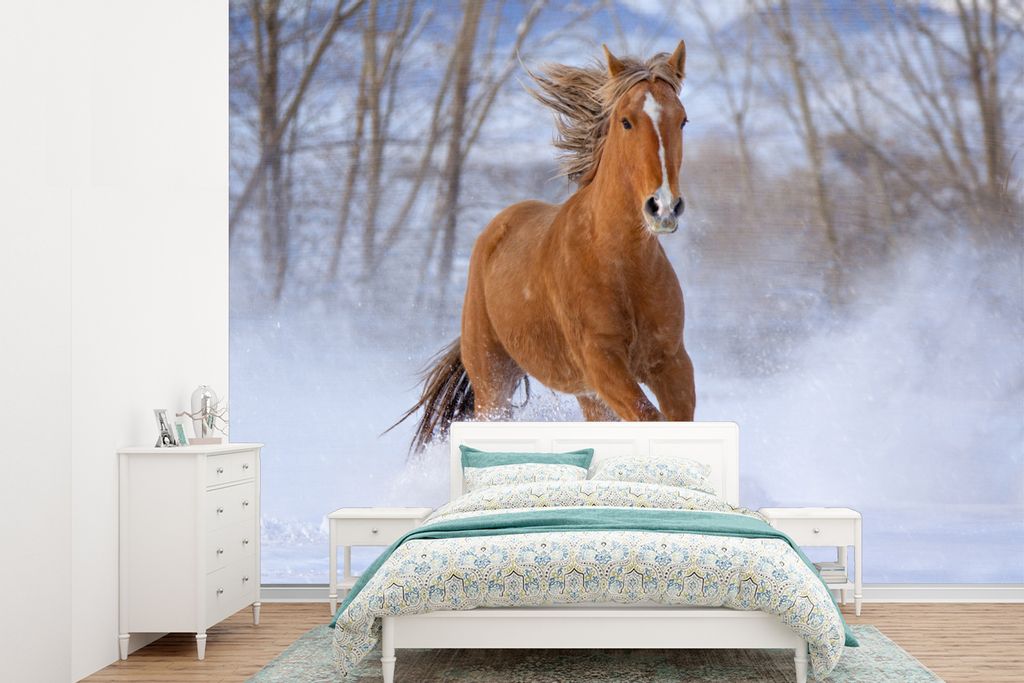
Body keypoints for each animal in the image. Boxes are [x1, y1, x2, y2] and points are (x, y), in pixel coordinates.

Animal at [396, 41, 694, 452]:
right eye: (626, 121)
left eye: (682, 120)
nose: (663, 206)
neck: (620, 264)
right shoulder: (602, 362)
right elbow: (652, 419)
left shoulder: (671, 361)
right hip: (493, 382)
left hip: (585, 393)